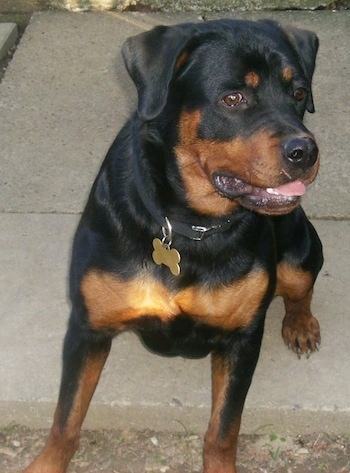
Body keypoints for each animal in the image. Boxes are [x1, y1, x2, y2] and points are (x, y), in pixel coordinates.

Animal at [26, 18, 324, 472]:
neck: (188, 226)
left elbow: (224, 429)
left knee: (299, 288)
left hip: (300, 252)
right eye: (233, 97)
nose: (304, 151)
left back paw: (301, 324)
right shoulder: (86, 328)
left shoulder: (242, 339)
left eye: (299, 93)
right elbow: (66, 416)